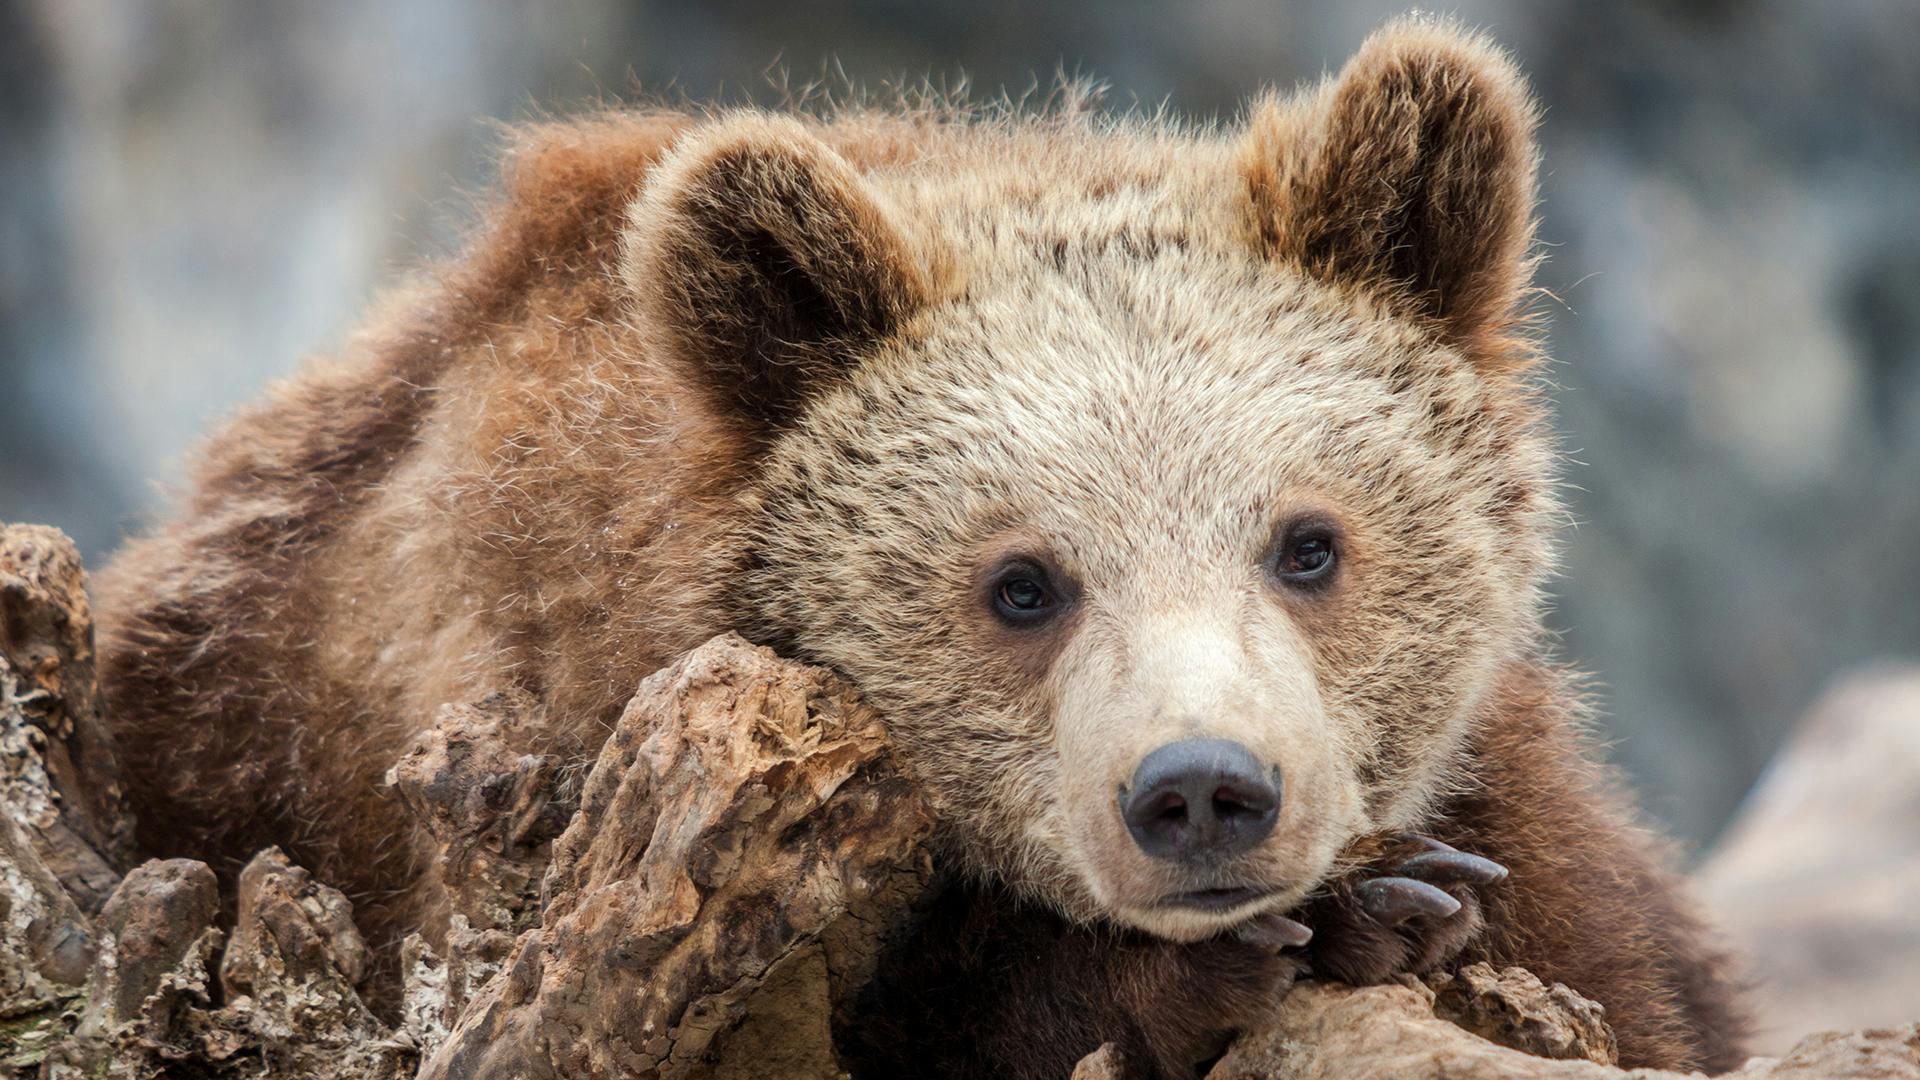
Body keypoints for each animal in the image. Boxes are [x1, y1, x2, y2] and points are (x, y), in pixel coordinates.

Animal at [97, 16, 1758, 1076]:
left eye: (1308, 543)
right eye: (1021, 584)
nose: (1203, 793)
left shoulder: (1542, 828)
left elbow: (1633, 979)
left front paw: (1389, 900)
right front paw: (1324, 922)